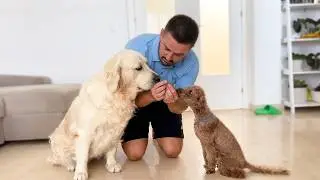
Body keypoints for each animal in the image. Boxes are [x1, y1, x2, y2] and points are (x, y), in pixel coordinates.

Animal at [47, 49, 159, 180]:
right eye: (138, 68)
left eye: (148, 64)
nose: (158, 78)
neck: (117, 96)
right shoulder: (85, 133)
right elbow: (82, 156)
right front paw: (81, 173)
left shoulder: (116, 130)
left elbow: (112, 150)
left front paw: (112, 164)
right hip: (56, 139)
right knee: (61, 158)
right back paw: (70, 164)